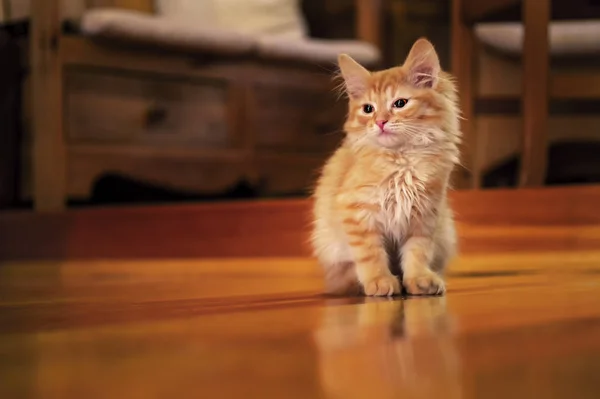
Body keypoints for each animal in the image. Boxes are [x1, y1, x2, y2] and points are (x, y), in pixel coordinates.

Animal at [310, 38, 460, 296]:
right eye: (368, 109)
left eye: (400, 103)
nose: (380, 122)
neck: (401, 160)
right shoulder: (357, 213)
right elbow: (370, 255)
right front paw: (379, 280)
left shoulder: (424, 216)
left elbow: (417, 253)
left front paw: (419, 279)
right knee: (344, 276)